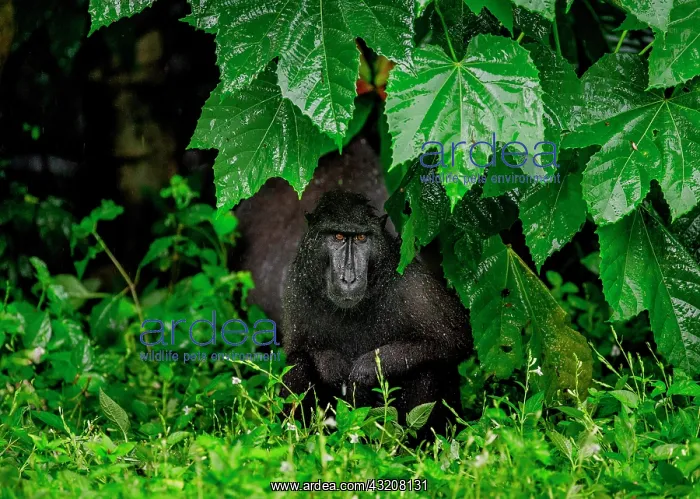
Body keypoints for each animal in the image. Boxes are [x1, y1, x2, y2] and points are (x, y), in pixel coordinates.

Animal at [280, 190, 473, 437]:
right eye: (338, 237)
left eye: (362, 238)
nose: (349, 278)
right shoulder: (297, 287)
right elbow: (299, 350)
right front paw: (332, 365)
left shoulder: (412, 283)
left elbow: (455, 339)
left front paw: (369, 367)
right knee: (298, 363)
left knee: (429, 366)